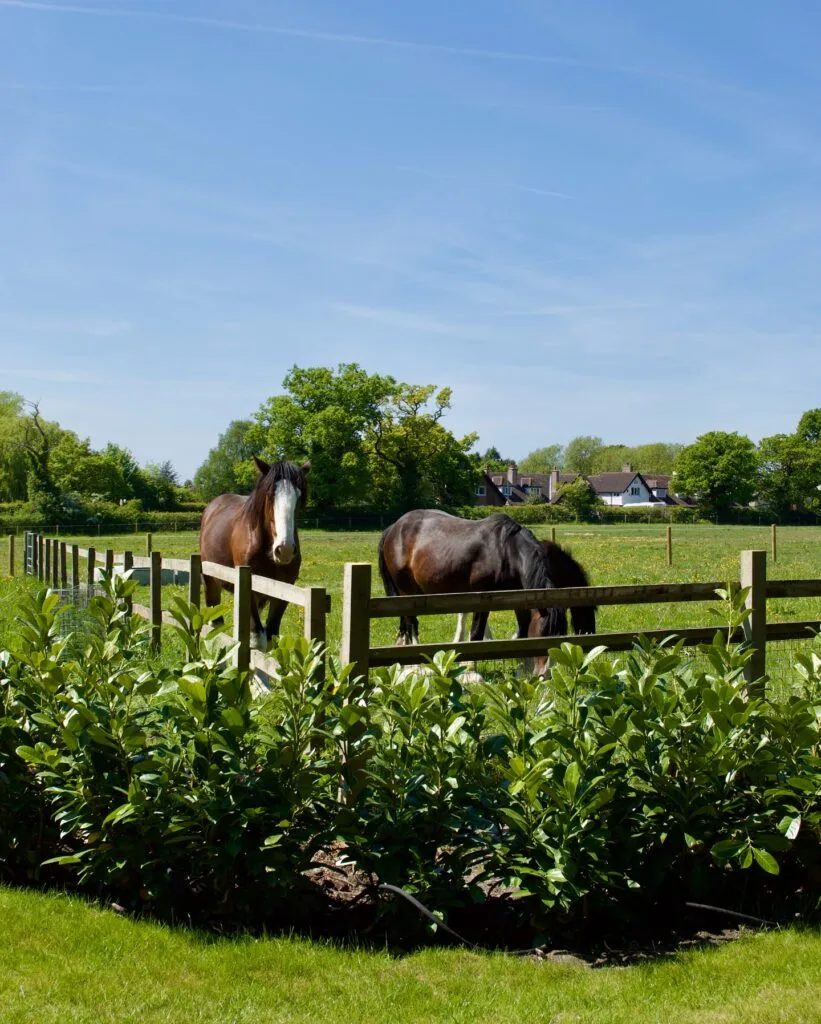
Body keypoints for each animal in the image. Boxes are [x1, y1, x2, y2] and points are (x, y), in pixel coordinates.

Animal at [199, 457, 310, 652]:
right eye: (270, 494)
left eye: (299, 496)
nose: (284, 549)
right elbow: (257, 640)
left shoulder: (284, 587)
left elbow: (271, 636)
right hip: (210, 580)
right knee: (215, 623)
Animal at [378, 511, 596, 670]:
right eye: (543, 634)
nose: (545, 674)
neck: (506, 551)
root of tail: (393, 528)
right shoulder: (481, 598)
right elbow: (476, 633)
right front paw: (472, 669)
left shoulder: (520, 599)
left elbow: (522, 631)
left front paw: (521, 668)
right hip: (407, 592)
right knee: (411, 623)